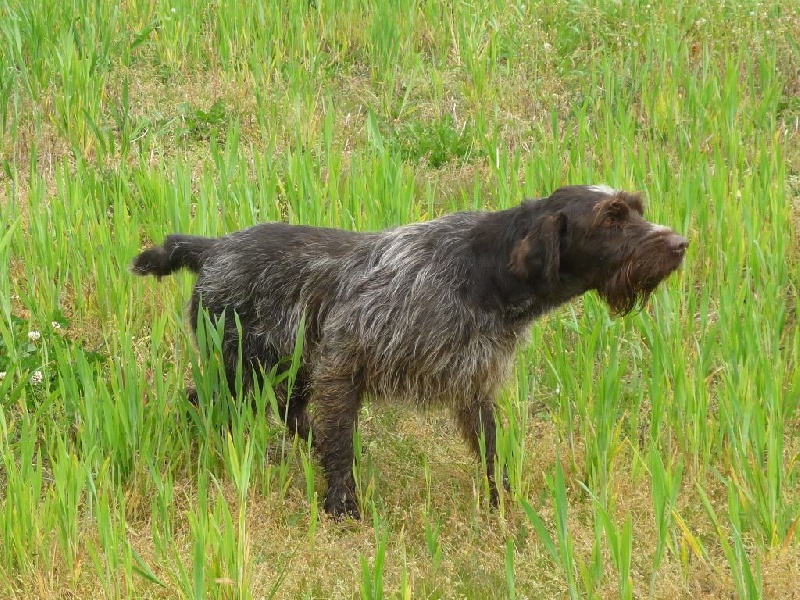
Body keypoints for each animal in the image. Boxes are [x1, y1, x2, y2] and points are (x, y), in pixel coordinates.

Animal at [131, 184, 688, 520]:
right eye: (611, 217)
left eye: (636, 208)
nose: (680, 243)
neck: (482, 274)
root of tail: (214, 248)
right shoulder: (344, 360)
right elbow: (341, 447)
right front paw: (342, 508)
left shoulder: (474, 385)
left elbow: (493, 454)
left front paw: (502, 507)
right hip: (242, 369)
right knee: (203, 403)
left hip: (285, 366)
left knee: (288, 412)